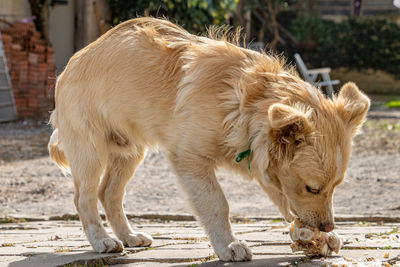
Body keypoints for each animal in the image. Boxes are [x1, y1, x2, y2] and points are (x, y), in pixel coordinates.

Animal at [48, 18, 370, 262]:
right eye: (312, 188)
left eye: (336, 186)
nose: (327, 225)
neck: (241, 104)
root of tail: (69, 66)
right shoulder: (190, 159)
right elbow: (217, 204)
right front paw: (228, 246)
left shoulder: (266, 165)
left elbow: (284, 199)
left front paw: (320, 237)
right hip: (90, 151)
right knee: (84, 198)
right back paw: (101, 241)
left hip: (129, 151)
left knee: (109, 194)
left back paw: (129, 236)